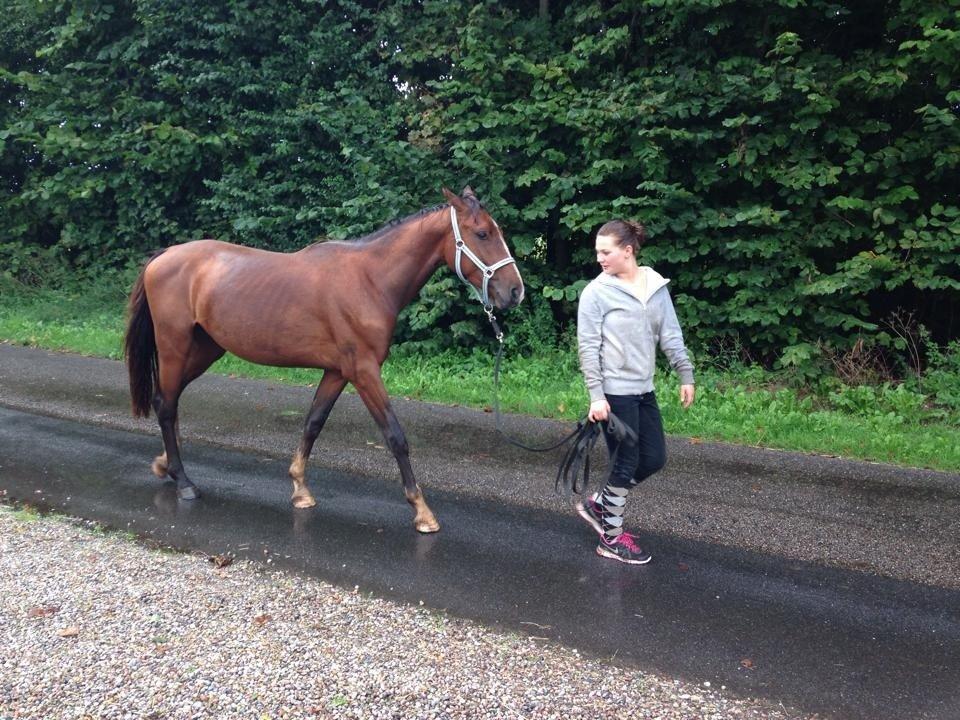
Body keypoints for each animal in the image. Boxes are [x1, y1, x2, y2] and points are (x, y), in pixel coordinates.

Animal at [124, 188, 524, 532]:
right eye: (483, 233)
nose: (515, 291)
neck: (369, 279)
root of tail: (163, 257)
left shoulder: (337, 371)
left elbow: (313, 423)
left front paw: (300, 490)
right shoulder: (364, 371)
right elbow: (395, 436)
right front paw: (422, 511)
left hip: (206, 350)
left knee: (168, 402)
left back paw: (166, 465)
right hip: (175, 347)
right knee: (166, 406)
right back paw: (184, 482)